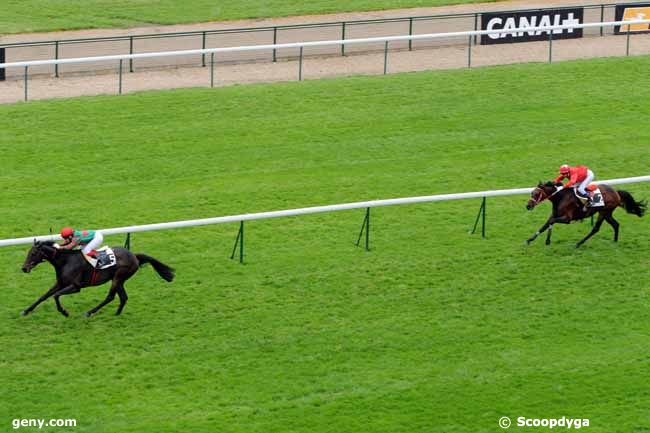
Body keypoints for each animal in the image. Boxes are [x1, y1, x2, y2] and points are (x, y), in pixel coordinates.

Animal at [21, 240, 173, 318]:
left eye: (33, 253)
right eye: (29, 253)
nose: (24, 268)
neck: (65, 261)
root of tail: (134, 255)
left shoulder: (75, 287)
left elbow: (56, 296)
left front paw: (64, 312)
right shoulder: (60, 283)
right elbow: (44, 296)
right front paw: (26, 311)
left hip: (118, 277)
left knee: (110, 297)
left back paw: (90, 312)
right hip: (119, 279)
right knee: (123, 297)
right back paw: (117, 314)